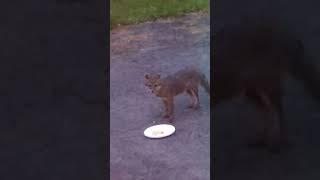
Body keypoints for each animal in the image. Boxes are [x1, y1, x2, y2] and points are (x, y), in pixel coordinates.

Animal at [212, 16, 320, 153]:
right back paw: (262, 139)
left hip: (268, 85)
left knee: (278, 111)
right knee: (266, 110)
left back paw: (278, 142)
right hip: (251, 90)